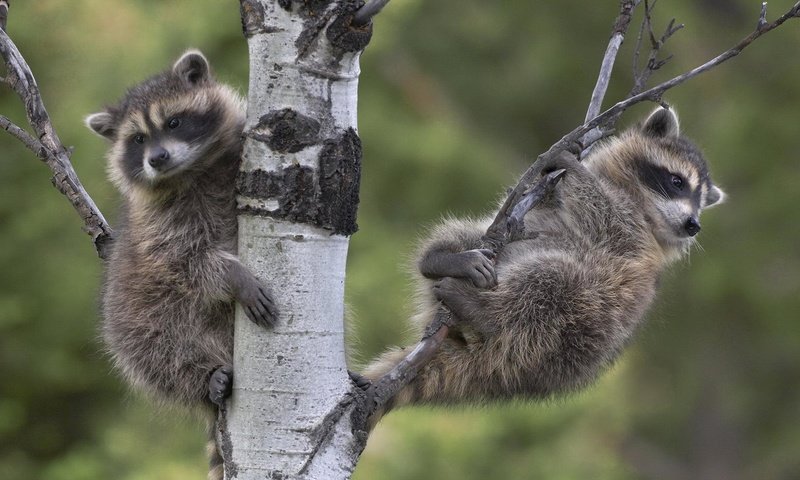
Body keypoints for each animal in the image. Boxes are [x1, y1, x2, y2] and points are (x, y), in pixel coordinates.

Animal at [85, 50, 276, 478]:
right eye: (138, 139)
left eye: (173, 122)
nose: (157, 158)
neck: (192, 171)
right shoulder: (158, 226)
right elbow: (186, 262)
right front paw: (234, 275)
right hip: (134, 316)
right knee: (154, 352)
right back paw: (203, 378)